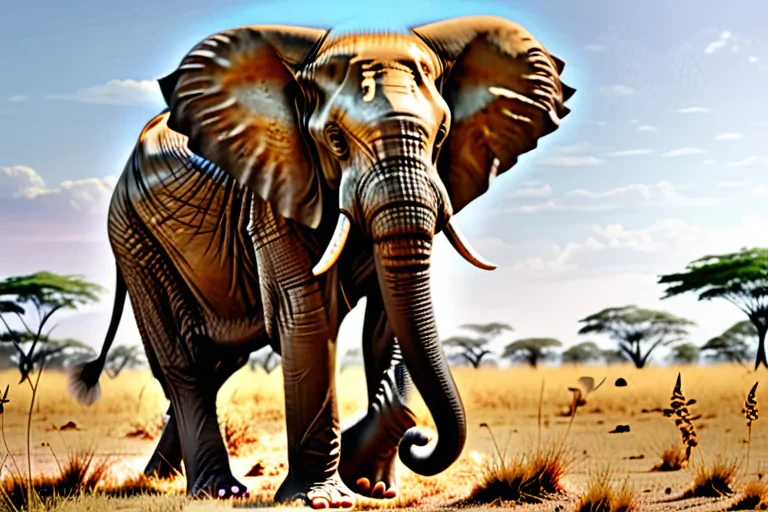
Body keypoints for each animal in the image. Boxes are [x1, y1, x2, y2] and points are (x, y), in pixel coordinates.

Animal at [68, 14, 573, 508]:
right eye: (334, 139)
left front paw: (371, 484)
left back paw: (159, 477)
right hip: (132, 236)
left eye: (442, 136)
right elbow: (307, 315)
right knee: (185, 360)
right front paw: (324, 496)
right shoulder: (275, 186)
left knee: (219, 363)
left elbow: (388, 325)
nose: (419, 439)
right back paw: (217, 489)